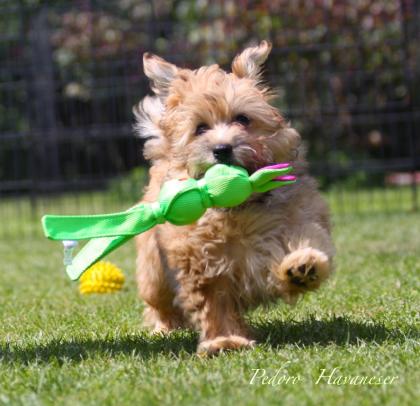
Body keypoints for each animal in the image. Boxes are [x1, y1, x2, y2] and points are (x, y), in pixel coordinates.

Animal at [135, 39, 334, 354]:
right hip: (153, 270)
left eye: (243, 119)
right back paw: (163, 329)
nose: (222, 149)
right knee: (158, 301)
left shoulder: (298, 216)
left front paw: (304, 265)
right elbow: (214, 303)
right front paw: (225, 340)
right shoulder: (200, 259)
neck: (241, 207)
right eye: (200, 128)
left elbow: (307, 237)